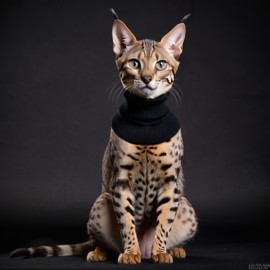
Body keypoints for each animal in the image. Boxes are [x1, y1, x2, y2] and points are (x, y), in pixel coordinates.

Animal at [10, 10, 196, 264]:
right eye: (135, 63)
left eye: (161, 64)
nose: (147, 78)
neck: (146, 116)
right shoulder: (120, 179)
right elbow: (126, 221)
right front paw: (131, 252)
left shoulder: (171, 181)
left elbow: (164, 223)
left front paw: (160, 252)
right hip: (102, 200)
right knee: (99, 241)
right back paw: (101, 251)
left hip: (186, 207)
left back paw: (172, 250)